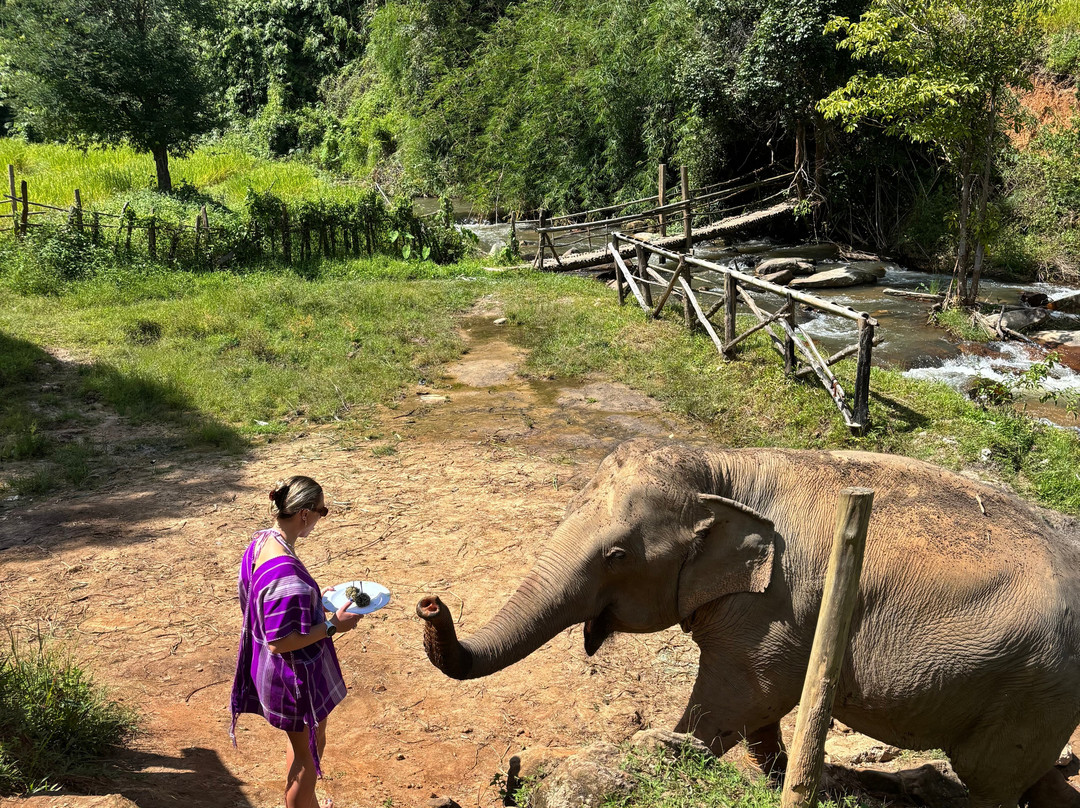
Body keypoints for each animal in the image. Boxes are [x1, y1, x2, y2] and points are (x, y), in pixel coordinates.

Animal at [416, 439, 1080, 808]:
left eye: (617, 556)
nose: (429, 603)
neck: (722, 467)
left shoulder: (775, 604)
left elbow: (745, 693)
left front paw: (669, 751)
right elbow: (761, 710)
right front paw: (788, 778)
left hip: (1032, 686)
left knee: (992, 785)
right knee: (1030, 779)